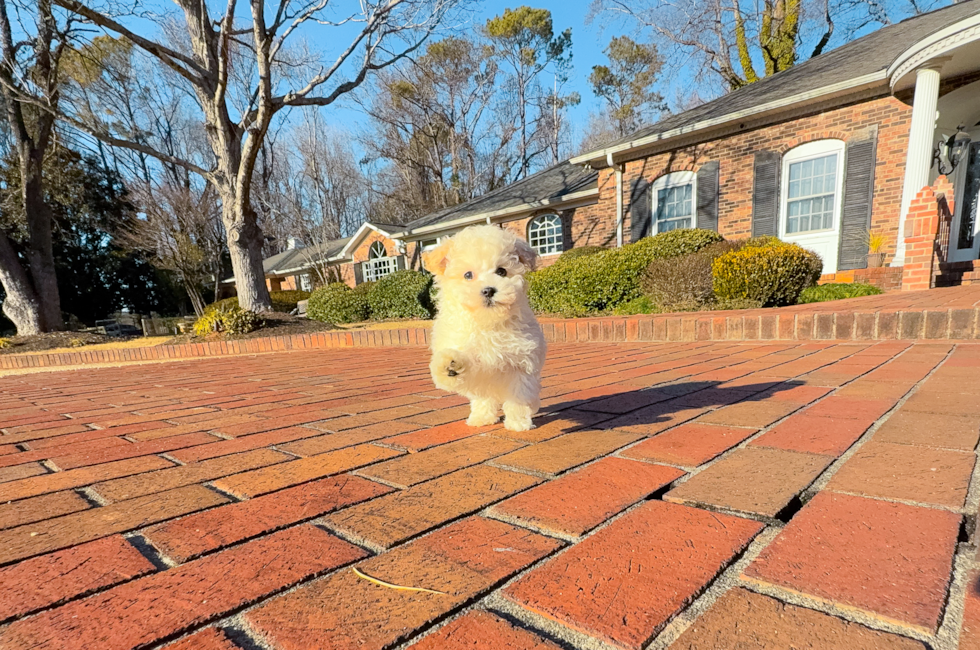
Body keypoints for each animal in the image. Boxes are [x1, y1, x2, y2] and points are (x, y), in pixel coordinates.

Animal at [424, 223, 548, 430]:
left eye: (502, 271)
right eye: (468, 275)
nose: (489, 290)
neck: (487, 321)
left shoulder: (521, 363)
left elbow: (518, 396)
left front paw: (518, 423)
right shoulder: (469, 357)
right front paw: (449, 367)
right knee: (483, 399)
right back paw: (481, 418)